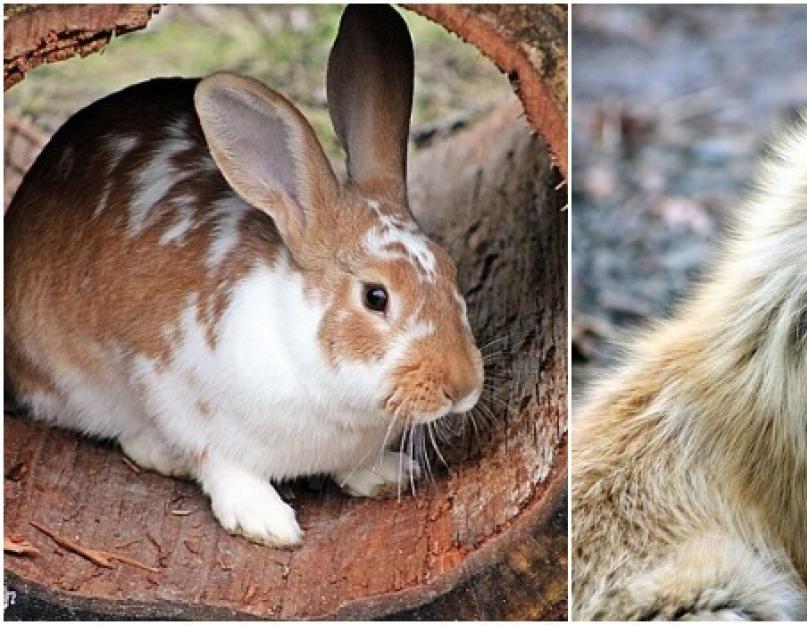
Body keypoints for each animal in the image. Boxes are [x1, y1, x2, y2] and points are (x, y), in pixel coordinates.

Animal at [3, 3, 482, 544]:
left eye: (450, 269)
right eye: (375, 297)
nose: (463, 387)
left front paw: (386, 475)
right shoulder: (183, 401)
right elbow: (222, 465)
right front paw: (269, 524)